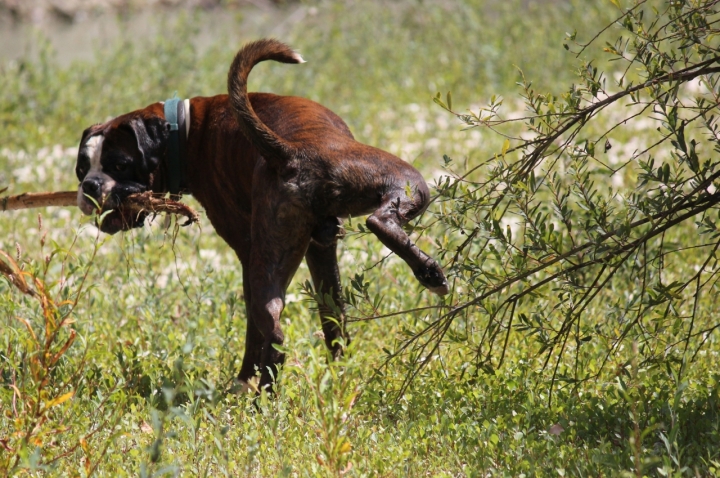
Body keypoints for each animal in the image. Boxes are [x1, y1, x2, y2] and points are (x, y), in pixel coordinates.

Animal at [73, 38, 444, 392]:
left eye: (120, 165)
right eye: (80, 170)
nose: (90, 185)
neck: (188, 130)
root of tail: (293, 152)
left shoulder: (259, 252)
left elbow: (279, 321)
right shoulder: (316, 250)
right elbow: (332, 314)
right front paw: (338, 368)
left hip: (405, 181)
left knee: (274, 324)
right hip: (390, 190)